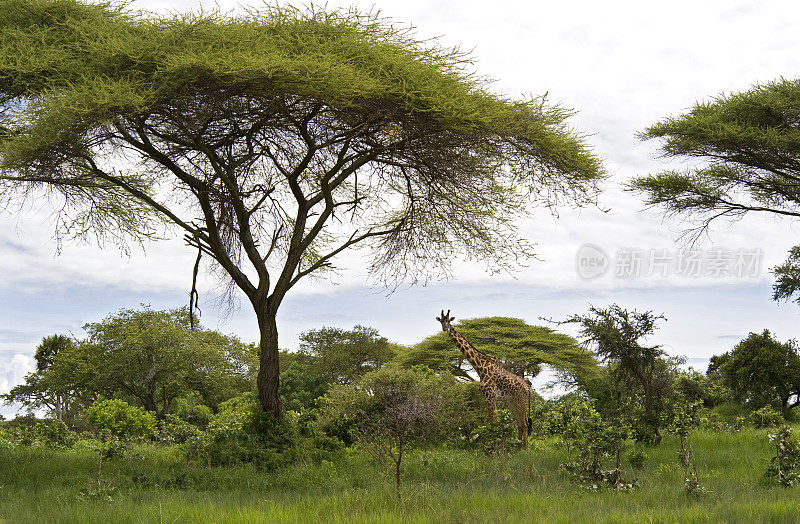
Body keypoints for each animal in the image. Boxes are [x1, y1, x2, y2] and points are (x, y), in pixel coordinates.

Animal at [438, 310, 532, 448]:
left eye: (449, 321)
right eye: (441, 321)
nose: (445, 328)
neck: (480, 367)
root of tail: (528, 387)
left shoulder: (490, 396)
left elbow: (493, 423)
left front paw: (493, 448)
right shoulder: (490, 398)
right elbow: (494, 422)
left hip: (521, 401)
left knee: (524, 423)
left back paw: (525, 450)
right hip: (512, 401)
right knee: (520, 423)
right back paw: (519, 449)